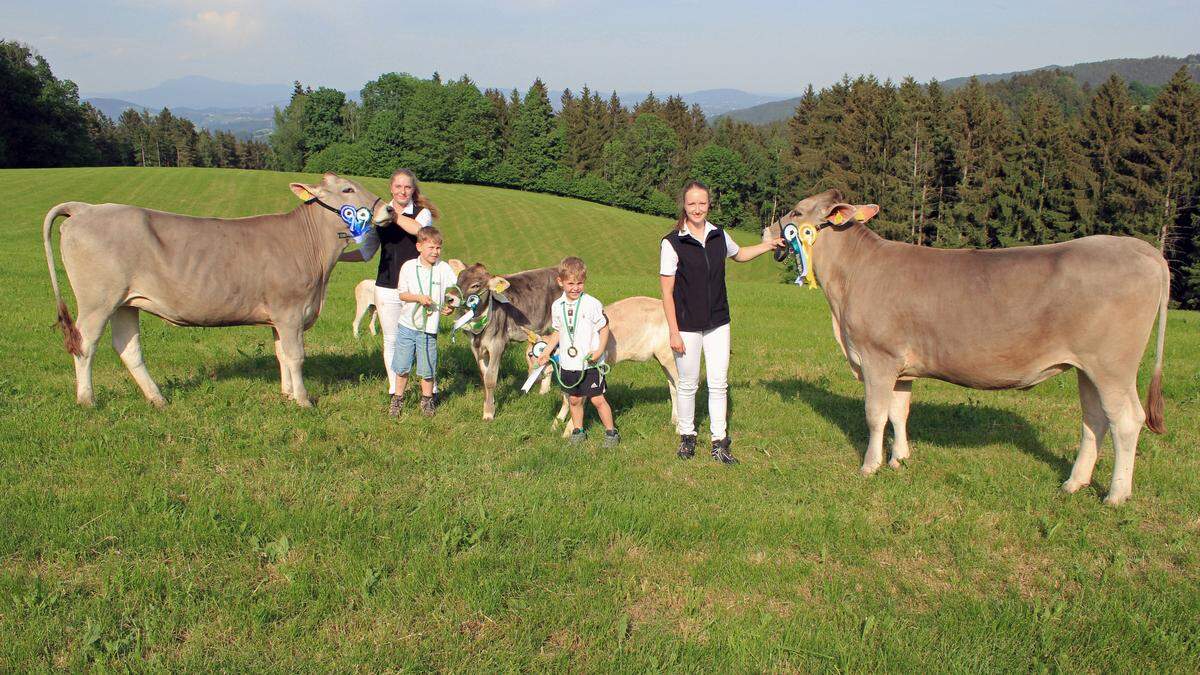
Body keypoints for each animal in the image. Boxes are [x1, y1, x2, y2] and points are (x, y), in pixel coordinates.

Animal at [44, 170, 391, 408]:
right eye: (347, 188)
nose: (387, 208)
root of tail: (87, 208)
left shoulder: (279, 317)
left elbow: (280, 353)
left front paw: (287, 394)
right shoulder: (289, 310)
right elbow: (295, 356)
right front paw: (304, 400)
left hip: (125, 303)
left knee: (128, 348)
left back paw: (158, 399)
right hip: (97, 301)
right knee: (85, 343)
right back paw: (87, 399)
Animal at [763, 186, 1166, 502]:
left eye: (796, 212)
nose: (769, 232)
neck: (850, 280)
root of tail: (1142, 250)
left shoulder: (878, 357)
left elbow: (875, 414)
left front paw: (870, 465)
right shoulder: (902, 368)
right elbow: (899, 411)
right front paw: (900, 459)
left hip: (1113, 365)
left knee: (1126, 420)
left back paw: (1116, 494)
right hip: (1088, 368)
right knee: (1094, 420)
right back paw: (1074, 483)